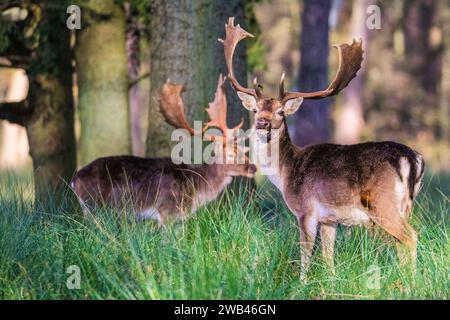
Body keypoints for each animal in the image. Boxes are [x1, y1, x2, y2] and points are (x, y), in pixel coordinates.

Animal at [72, 74, 258, 225]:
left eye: (244, 150)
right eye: (231, 153)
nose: (253, 167)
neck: (195, 189)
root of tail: (75, 180)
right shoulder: (167, 210)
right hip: (95, 207)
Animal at [221, 17, 426, 276]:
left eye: (280, 112)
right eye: (256, 109)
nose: (262, 123)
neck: (285, 173)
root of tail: (413, 159)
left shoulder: (306, 210)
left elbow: (305, 254)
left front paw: (301, 281)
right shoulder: (330, 219)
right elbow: (329, 258)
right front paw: (330, 279)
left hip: (382, 204)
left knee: (410, 237)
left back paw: (411, 280)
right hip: (406, 205)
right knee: (402, 241)